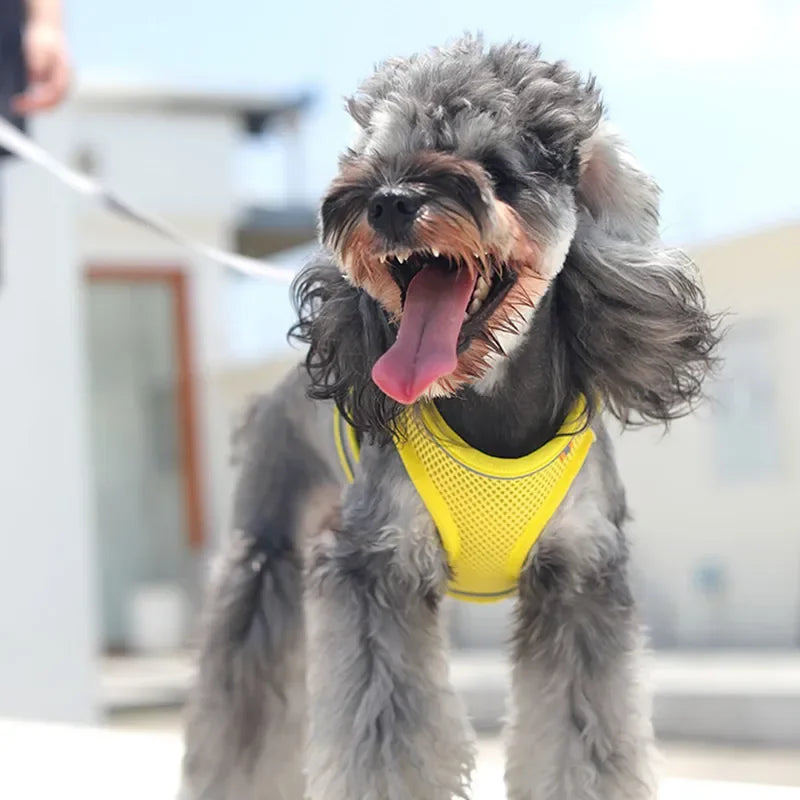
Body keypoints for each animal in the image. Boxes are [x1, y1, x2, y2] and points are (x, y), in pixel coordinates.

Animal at [180, 36, 720, 800]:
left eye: (494, 163)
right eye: (376, 156)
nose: (388, 201)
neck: (490, 407)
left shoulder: (581, 577)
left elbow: (583, 738)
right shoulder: (375, 570)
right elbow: (384, 741)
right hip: (266, 559)